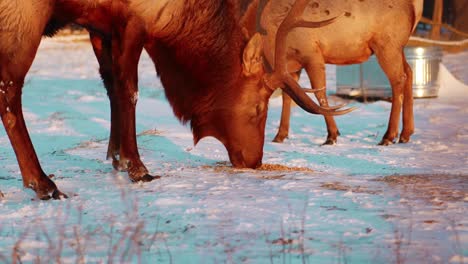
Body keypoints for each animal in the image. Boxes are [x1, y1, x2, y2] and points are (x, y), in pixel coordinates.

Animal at [1, 0, 350, 198]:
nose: (255, 161)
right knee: (10, 92)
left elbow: (111, 86)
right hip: (24, 16)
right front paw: (137, 167)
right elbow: (129, 90)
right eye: (258, 106)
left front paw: (115, 156)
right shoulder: (134, 21)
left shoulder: (99, 24)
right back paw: (43, 183)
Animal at [249, 0, 424, 144]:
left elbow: (320, 94)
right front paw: (280, 135)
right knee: (409, 72)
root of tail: (413, 8)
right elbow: (287, 97)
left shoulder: (312, 53)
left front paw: (332, 135)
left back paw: (388, 136)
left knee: (398, 79)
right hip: (398, 46)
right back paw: (406, 134)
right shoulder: (292, 68)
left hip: (387, 44)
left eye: (258, 105)